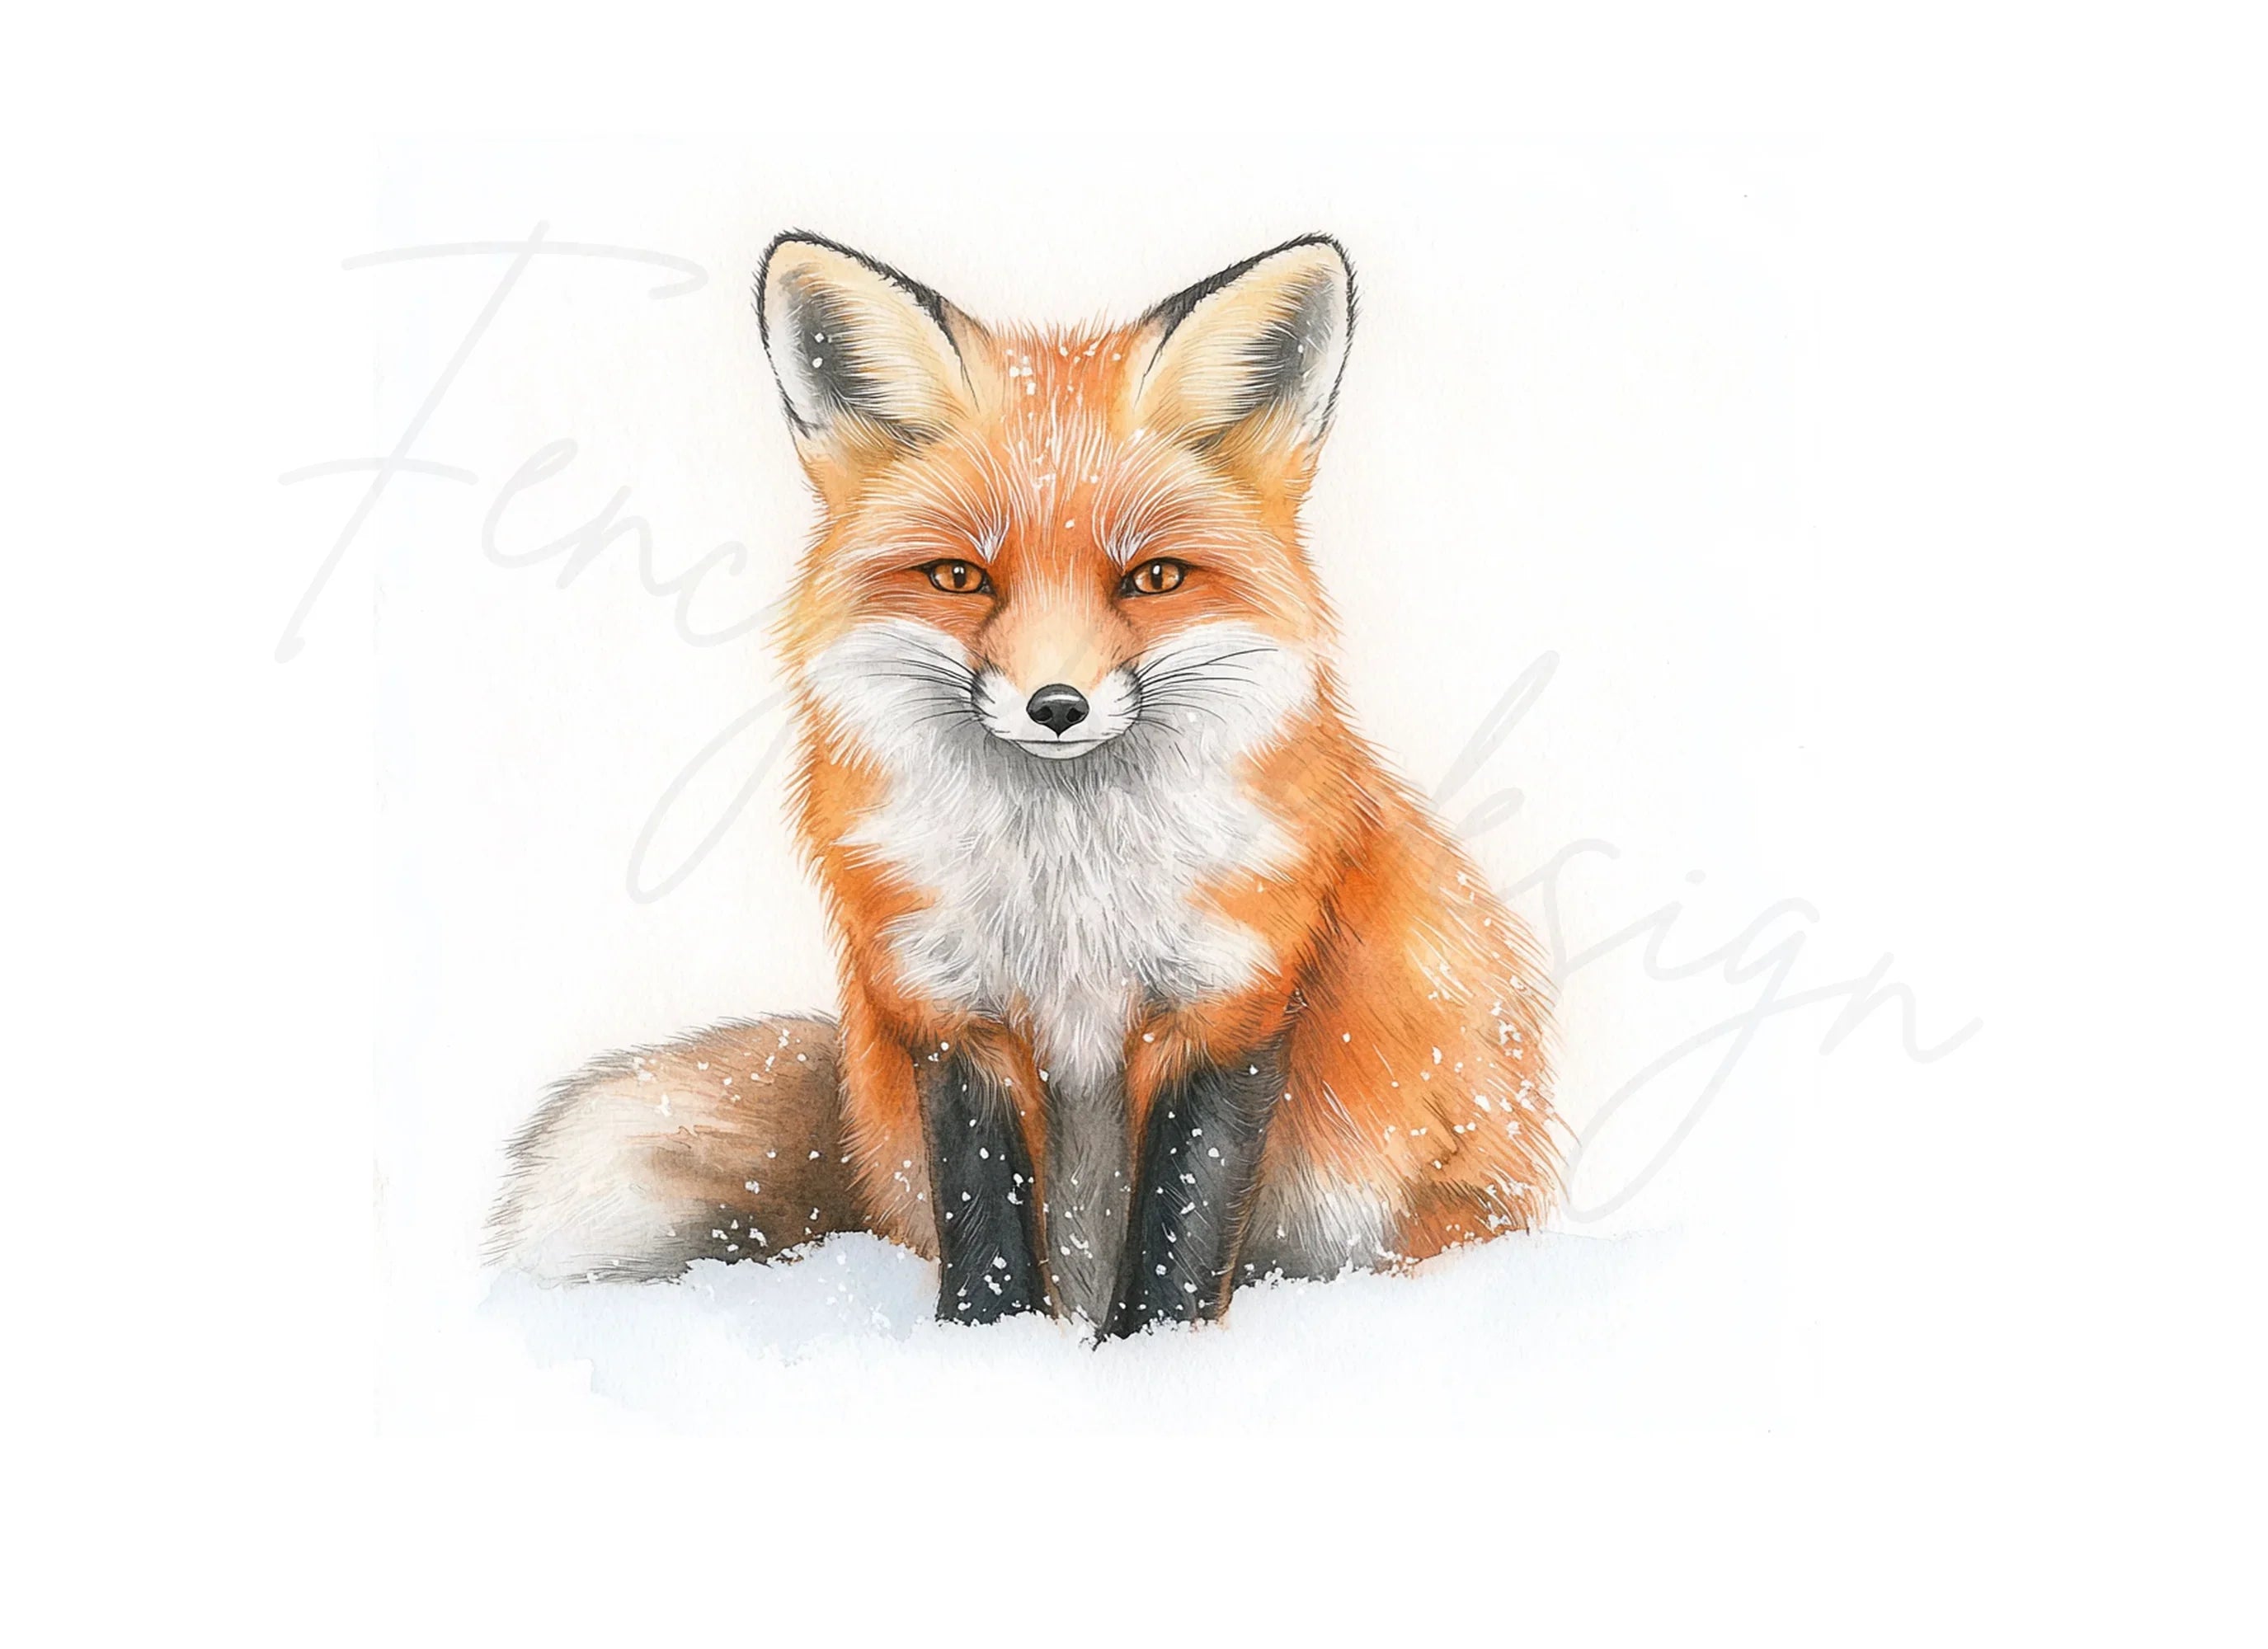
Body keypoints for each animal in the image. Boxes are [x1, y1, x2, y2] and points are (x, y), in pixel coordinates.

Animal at [488, 231, 1561, 1335]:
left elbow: (1179, 1228)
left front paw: (1152, 1354)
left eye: (1152, 578)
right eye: (960, 577)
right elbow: (987, 1222)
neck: (1066, 882)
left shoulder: (1228, 999)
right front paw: (989, 1351)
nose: (1056, 705)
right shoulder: (950, 1009)